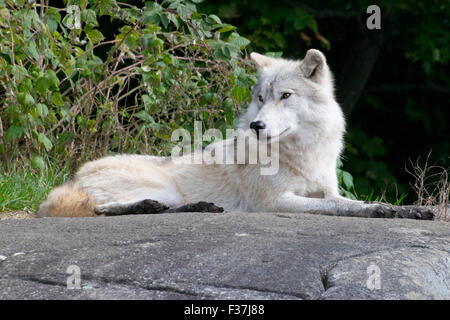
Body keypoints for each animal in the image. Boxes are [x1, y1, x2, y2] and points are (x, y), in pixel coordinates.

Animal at [37, 49, 436, 220]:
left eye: (284, 96)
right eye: (260, 98)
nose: (258, 126)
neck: (301, 155)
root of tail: (70, 180)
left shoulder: (327, 189)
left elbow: (353, 203)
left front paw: (408, 210)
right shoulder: (276, 202)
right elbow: (339, 208)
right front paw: (384, 212)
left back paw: (197, 207)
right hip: (159, 185)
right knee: (102, 210)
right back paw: (157, 207)